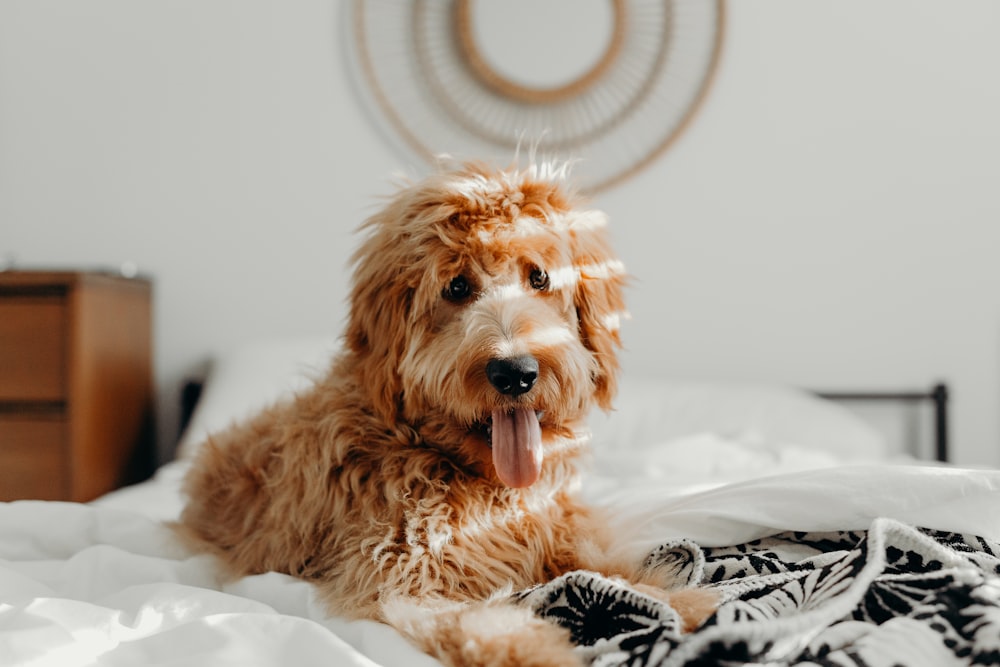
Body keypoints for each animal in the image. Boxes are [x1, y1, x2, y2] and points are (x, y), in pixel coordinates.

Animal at [178, 163, 712, 667]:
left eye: (539, 277)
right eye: (456, 287)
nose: (515, 373)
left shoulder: (555, 531)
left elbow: (605, 565)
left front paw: (681, 601)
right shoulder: (403, 573)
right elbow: (489, 623)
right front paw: (546, 652)